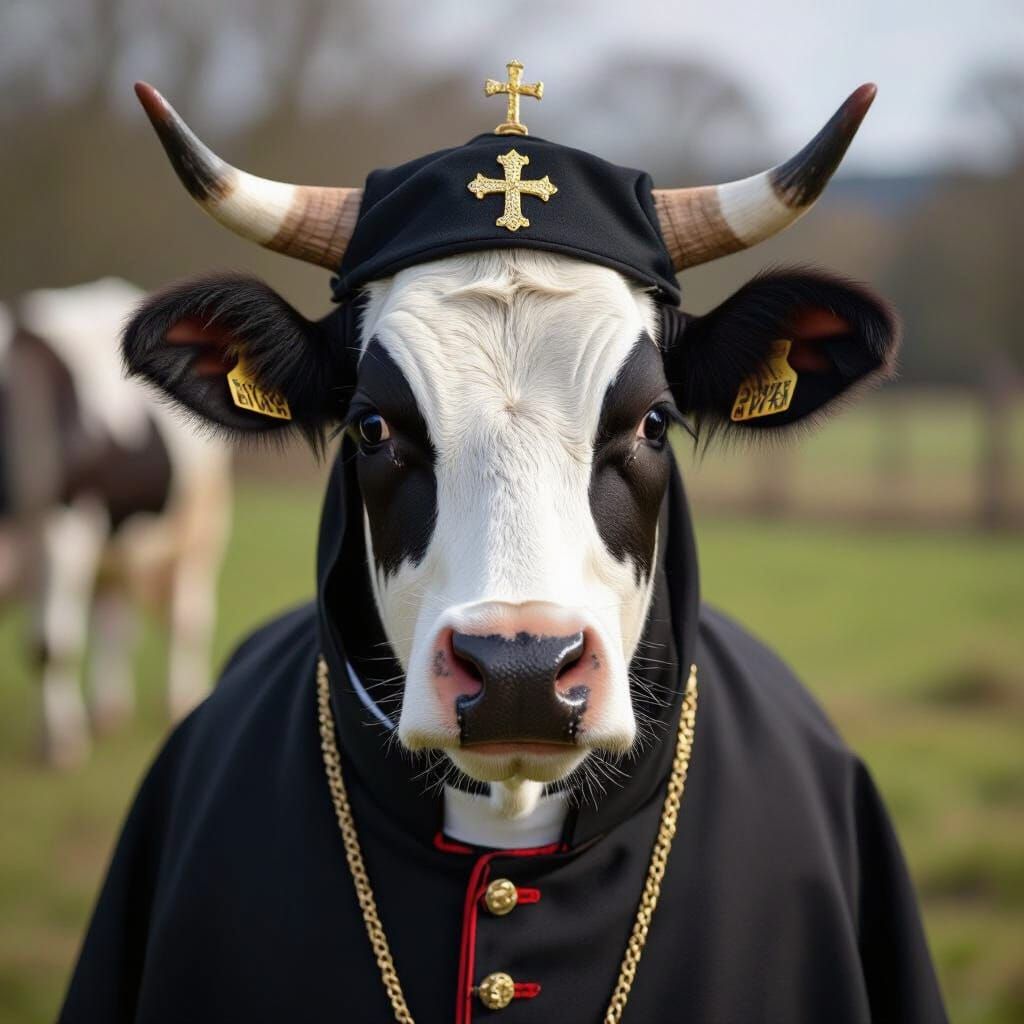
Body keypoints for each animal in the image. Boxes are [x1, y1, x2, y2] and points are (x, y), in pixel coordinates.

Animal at [0, 279, 232, 767]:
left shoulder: (63, 527)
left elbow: (50, 646)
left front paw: (61, 745)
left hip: (198, 530)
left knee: (188, 619)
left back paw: (181, 700)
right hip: (116, 542)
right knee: (114, 621)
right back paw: (106, 712)